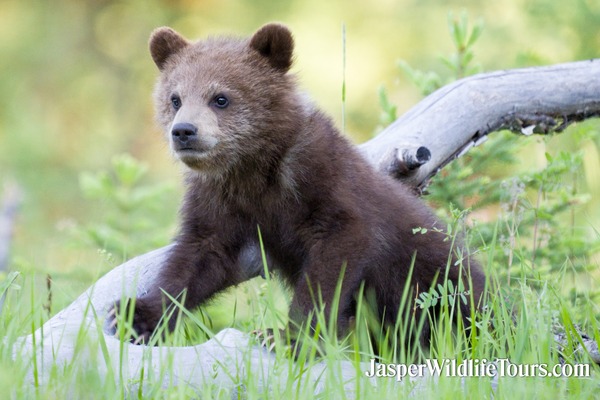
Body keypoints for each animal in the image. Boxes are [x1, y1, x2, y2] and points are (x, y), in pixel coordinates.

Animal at [110, 21, 488, 346]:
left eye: (220, 98)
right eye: (175, 98)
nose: (184, 131)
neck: (252, 168)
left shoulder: (321, 181)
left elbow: (335, 257)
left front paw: (288, 335)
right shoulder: (219, 199)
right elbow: (199, 256)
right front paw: (137, 314)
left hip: (438, 280)